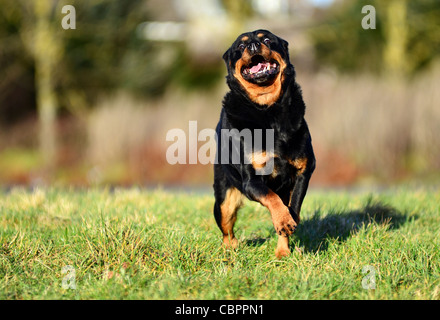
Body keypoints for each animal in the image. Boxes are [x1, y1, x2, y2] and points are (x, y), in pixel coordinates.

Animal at [214, 29, 314, 258]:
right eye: (240, 47)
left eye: (267, 39)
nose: (253, 45)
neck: (268, 109)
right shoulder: (251, 181)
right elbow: (271, 197)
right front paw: (284, 221)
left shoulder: (304, 170)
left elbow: (293, 206)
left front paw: (287, 226)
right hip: (224, 200)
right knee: (226, 229)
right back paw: (229, 250)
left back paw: (282, 252)